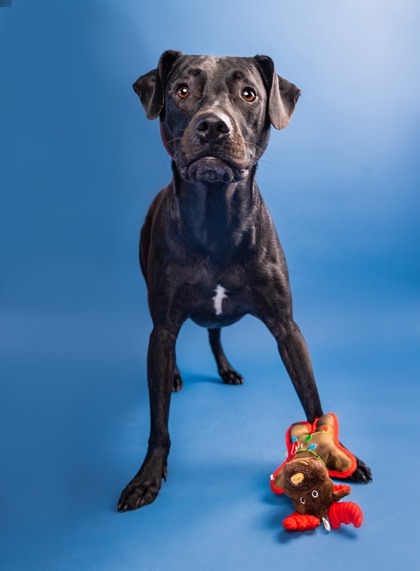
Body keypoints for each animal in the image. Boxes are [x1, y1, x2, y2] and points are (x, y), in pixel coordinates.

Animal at [117, 50, 370, 512]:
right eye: (182, 89)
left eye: (248, 93)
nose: (214, 125)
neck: (216, 217)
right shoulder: (161, 328)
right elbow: (158, 419)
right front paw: (147, 477)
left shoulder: (288, 328)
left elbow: (311, 397)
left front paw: (342, 458)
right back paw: (176, 375)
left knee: (215, 332)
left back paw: (227, 369)